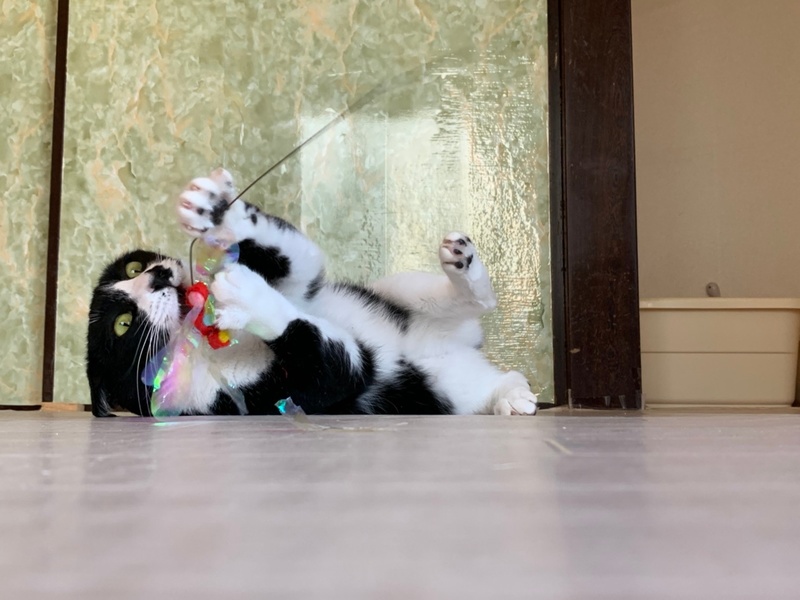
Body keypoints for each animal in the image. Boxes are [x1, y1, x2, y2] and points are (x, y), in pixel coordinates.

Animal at [86, 169, 538, 418]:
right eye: (123, 324)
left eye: (133, 266)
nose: (159, 275)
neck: (198, 341)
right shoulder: (257, 397)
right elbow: (335, 365)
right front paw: (251, 301)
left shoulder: (302, 286)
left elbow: (301, 263)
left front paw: (219, 213)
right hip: (447, 390)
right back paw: (511, 395)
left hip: (395, 289)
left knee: (469, 301)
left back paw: (463, 265)